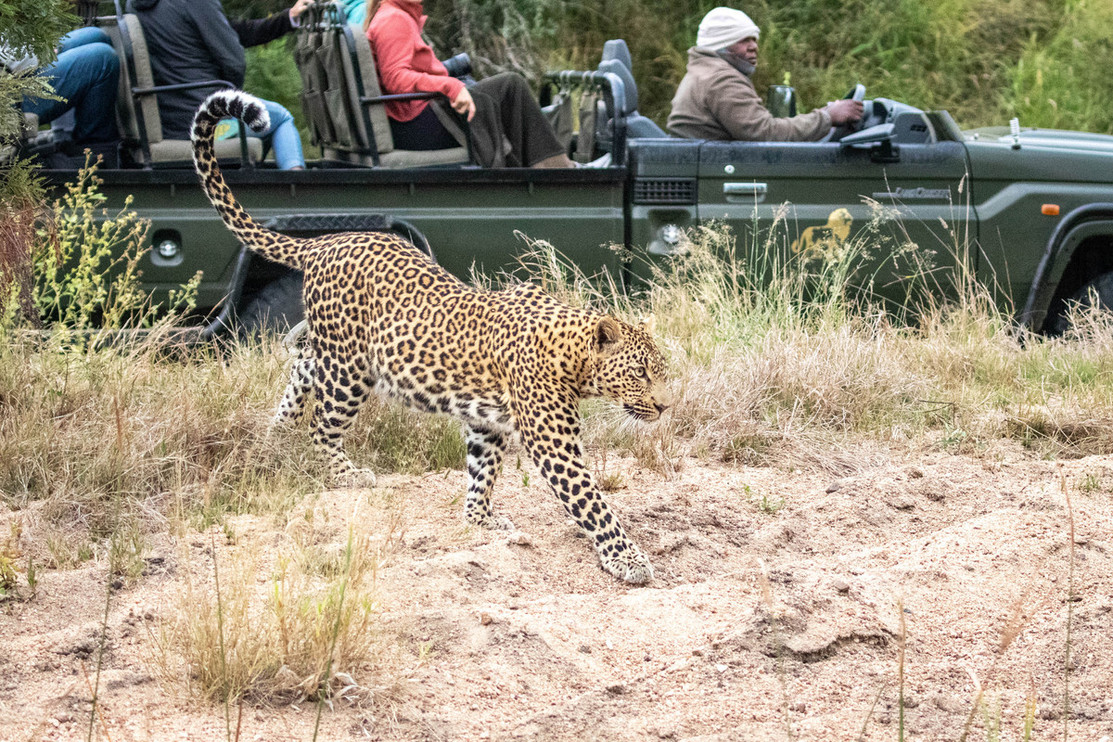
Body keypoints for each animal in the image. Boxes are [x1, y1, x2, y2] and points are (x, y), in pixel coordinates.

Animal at [190, 91, 670, 584]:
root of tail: (325, 241)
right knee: (321, 425)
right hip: (350, 371)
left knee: (302, 368)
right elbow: (593, 502)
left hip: (335, 354)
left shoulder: (487, 424)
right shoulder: (555, 445)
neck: (572, 355)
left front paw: (481, 518)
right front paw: (627, 558)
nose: (665, 407)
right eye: (639, 374)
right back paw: (344, 473)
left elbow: (482, 471)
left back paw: (276, 436)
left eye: (661, 371)